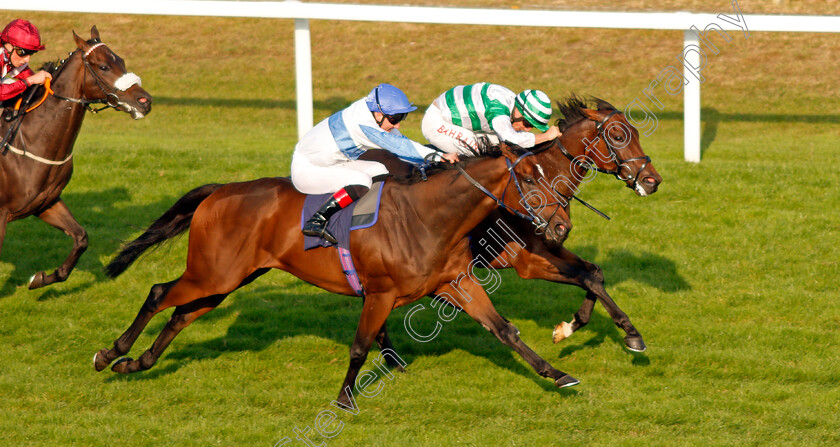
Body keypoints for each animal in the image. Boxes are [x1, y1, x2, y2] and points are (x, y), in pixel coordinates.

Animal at [0, 26, 153, 290]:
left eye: (121, 61)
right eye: (104, 66)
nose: (145, 101)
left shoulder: (46, 202)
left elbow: (81, 238)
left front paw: (40, 279)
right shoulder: (0, 215)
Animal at [93, 144, 576, 406]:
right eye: (529, 178)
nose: (561, 228)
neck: (428, 217)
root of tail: (222, 189)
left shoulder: (457, 283)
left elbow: (505, 330)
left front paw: (557, 375)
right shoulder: (379, 293)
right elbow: (361, 345)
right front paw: (345, 399)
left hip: (228, 279)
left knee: (181, 315)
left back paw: (138, 362)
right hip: (212, 273)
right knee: (159, 293)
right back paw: (111, 352)